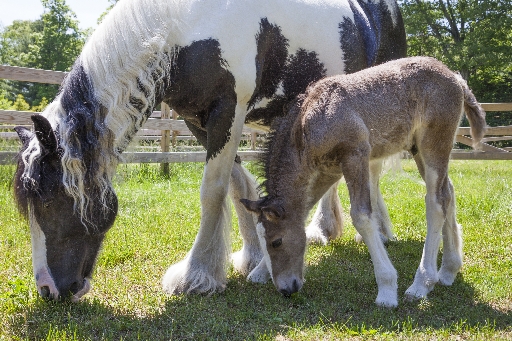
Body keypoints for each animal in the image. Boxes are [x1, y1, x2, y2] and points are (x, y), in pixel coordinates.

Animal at [12, 0, 406, 300]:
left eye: (48, 199)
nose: (47, 290)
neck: (182, 31)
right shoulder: (196, 121)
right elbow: (237, 185)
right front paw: (253, 256)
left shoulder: (228, 110)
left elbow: (212, 191)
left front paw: (197, 274)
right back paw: (326, 229)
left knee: (372, 166)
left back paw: (378, 230)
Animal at [242, 55, 486, 306]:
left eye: (277, 242)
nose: (286, 289)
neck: (308, 123)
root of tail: (457, 79)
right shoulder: (326, 172)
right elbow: (303, 209)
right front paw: (260, 271)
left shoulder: (356, 155)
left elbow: (361, 216)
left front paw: (387, 289)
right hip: (418, 148)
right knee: (448, 193)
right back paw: (448, 270)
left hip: (434, 142)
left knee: (436, 203)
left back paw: (421, 284)